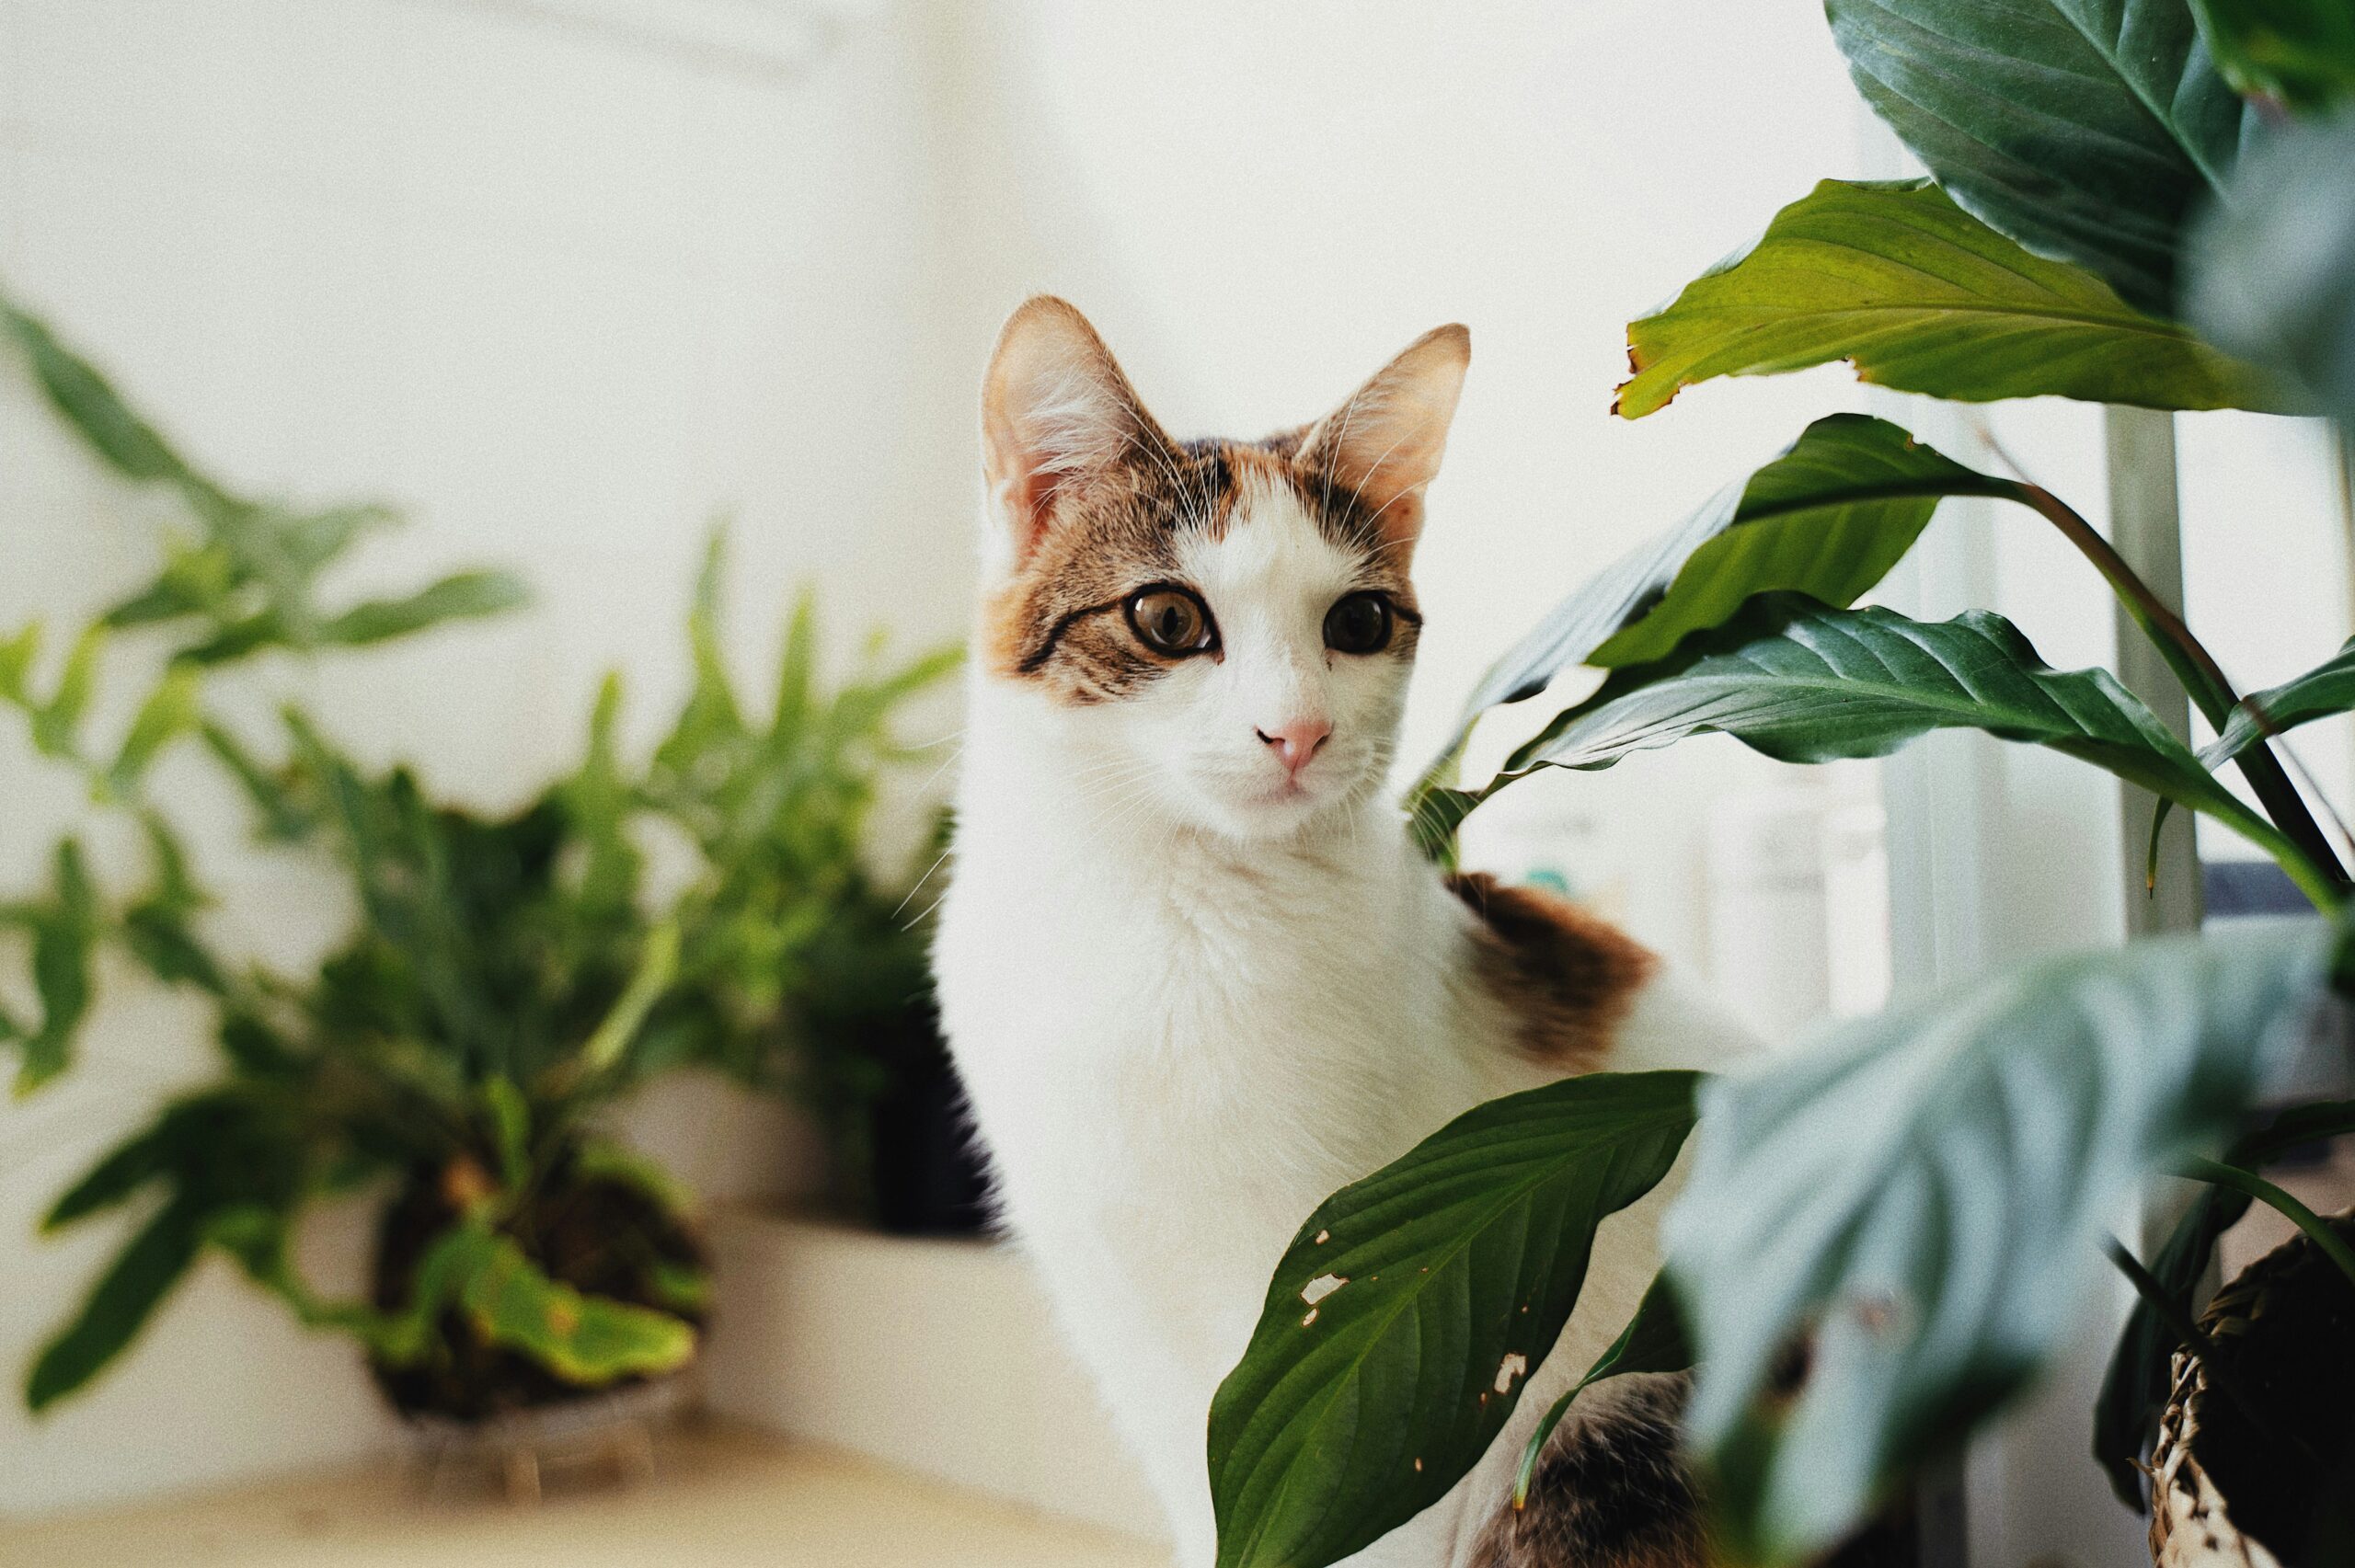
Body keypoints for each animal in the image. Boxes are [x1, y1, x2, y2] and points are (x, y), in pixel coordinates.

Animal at [927, 296, 1742, 1562]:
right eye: (1168, 617)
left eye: (1358, 622)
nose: (1297, 732)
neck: (1168, 910)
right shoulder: (1139, 1332)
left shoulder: (1357, 1356)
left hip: (1601, 1419)